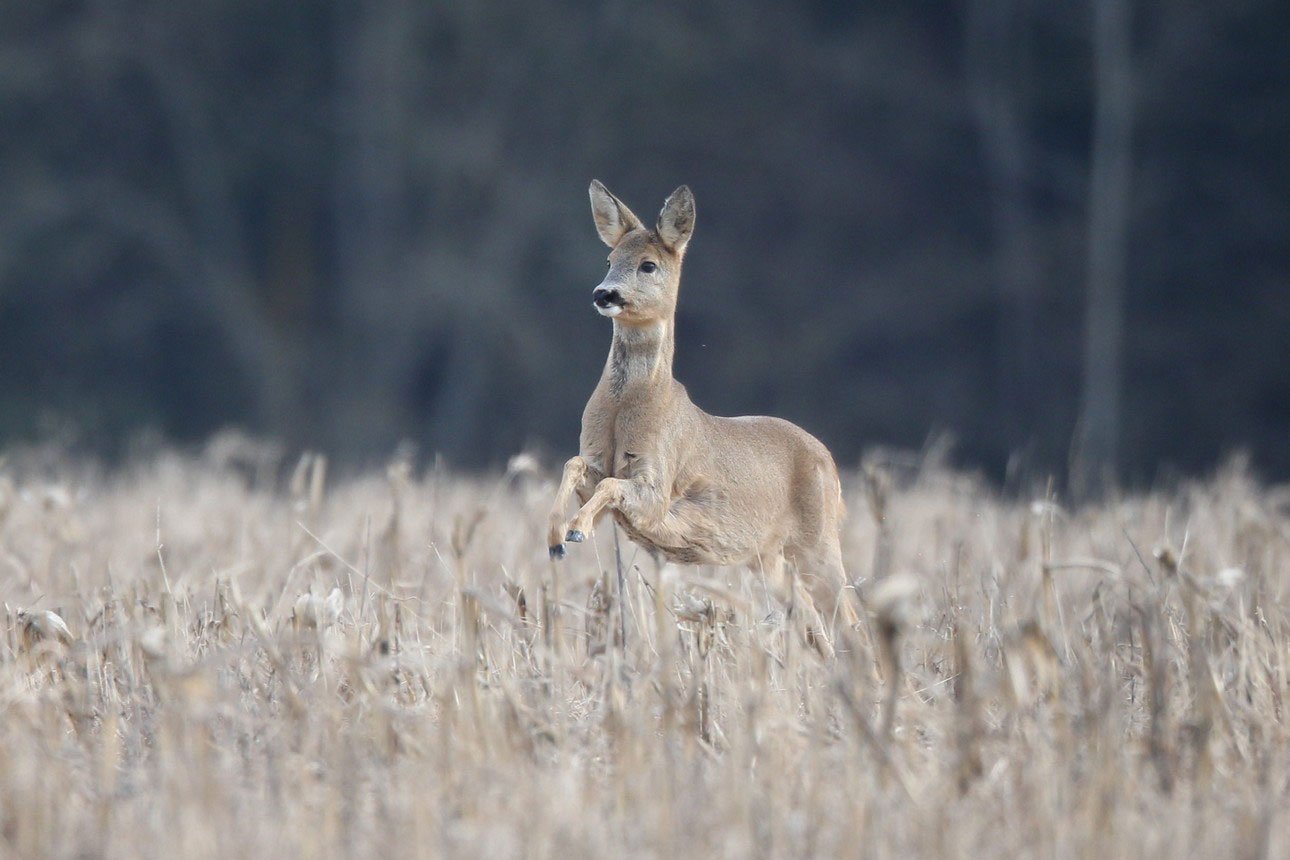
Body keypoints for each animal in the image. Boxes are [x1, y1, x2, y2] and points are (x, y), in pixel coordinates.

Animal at [546, 181, 856, 652]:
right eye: (609, 260)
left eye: (648, 264)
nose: (604, 293)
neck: (628, 407)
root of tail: (830, 462)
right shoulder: (597, 463)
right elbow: (575, 464)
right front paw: (555, 536)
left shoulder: (656, 488)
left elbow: (614, 485)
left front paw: (576, 530)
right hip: (767, 557)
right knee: (811, 620)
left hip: (817, 539)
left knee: (851, 618)